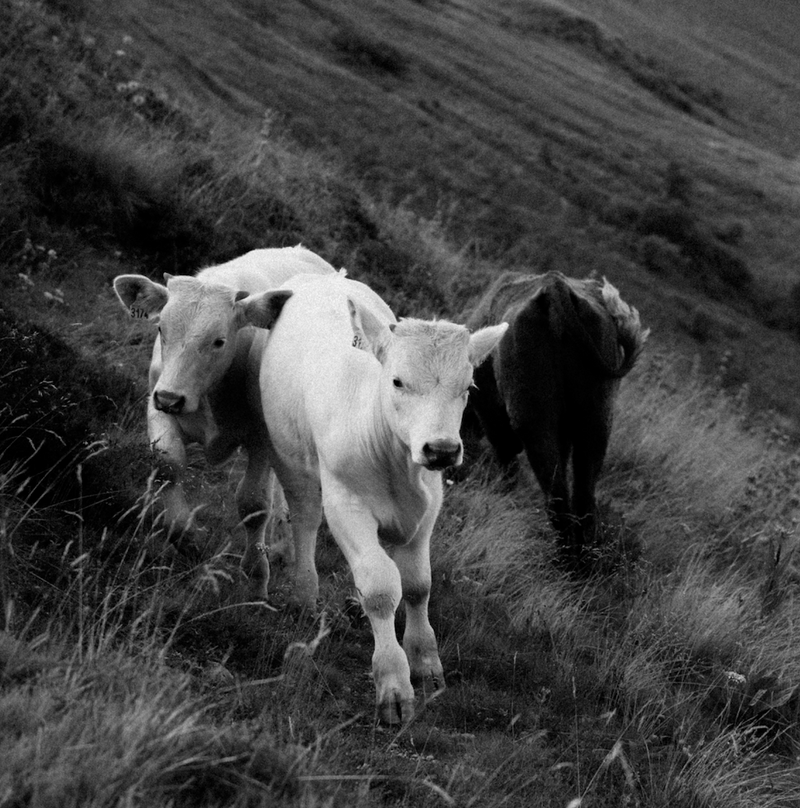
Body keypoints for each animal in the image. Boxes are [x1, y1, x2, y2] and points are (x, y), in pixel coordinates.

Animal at [112, 246, 336, 597]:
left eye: (218, 341)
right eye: (161, 329)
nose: (171, 398)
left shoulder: (262, 437)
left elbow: (254, 504)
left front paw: (257, 578)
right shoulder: (157, 405)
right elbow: (168, 465)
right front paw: (185, 536)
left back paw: (284, 547)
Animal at [257, 272, 507, 723]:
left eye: (468, 387)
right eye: (397, 381)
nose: (442, 449)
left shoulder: (429, 506)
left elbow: (418, 584)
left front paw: (425, 662)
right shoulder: (346, 505)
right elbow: (380, 587)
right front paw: (393, 682)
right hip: (288, 453)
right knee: (304, 518)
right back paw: (304, 592)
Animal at [465, 270, 648, 570]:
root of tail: (555, 286)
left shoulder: (488, 406)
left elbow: (506, 453)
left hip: (533, 418)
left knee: (556, 495)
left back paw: (565, 562)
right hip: (596, 419)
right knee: (583, 496)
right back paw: (584, 562)